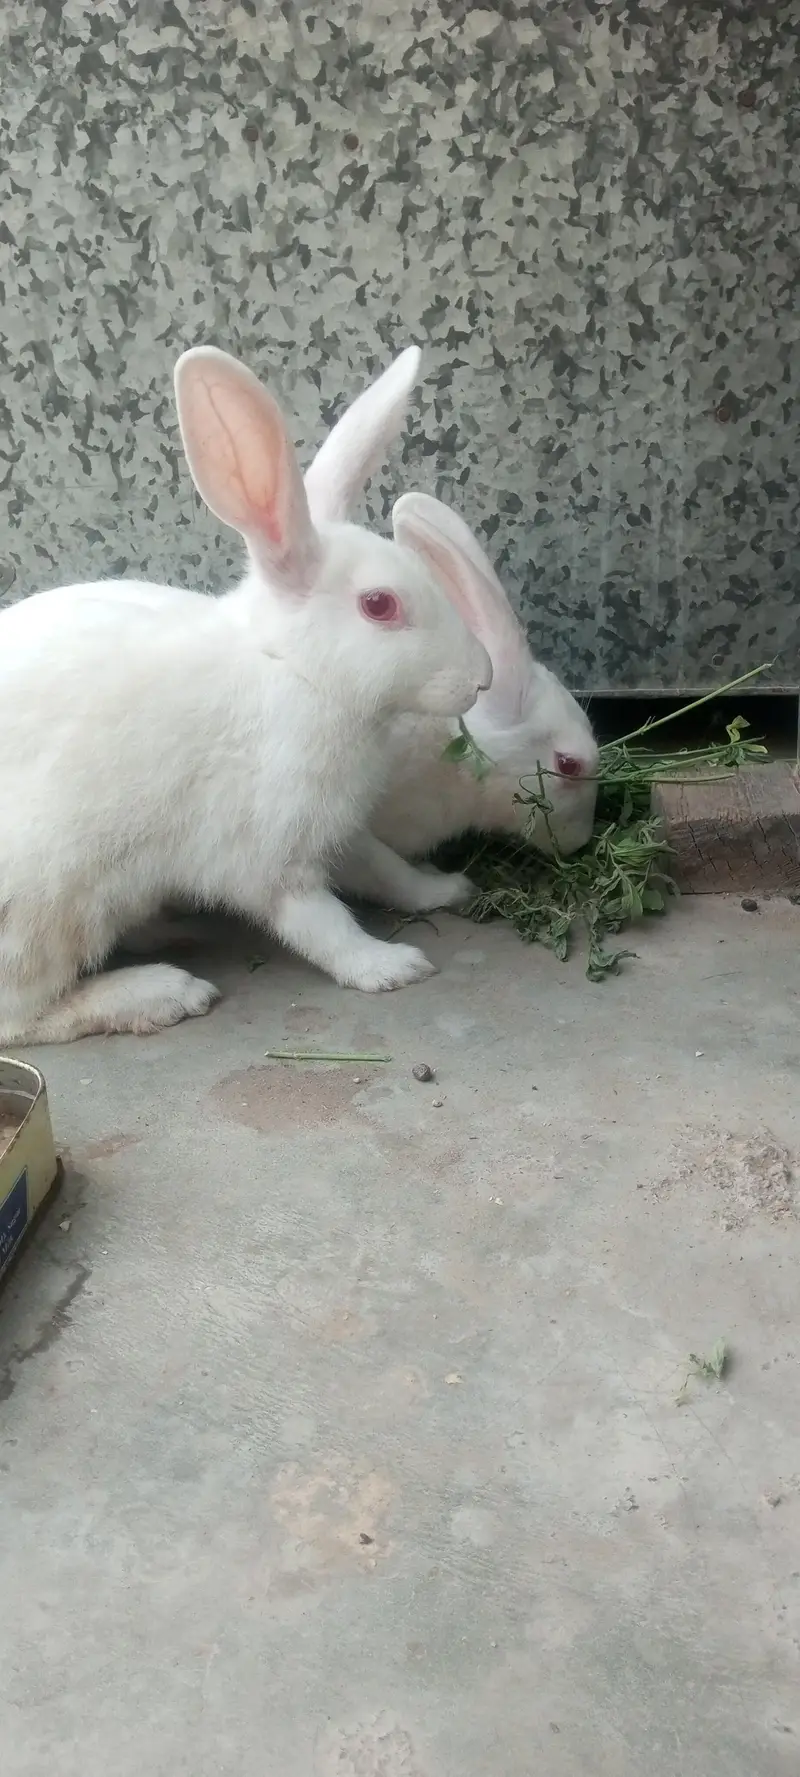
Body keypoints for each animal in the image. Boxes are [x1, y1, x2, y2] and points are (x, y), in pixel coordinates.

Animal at [0, 344, 493, 1045]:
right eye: (380, 605)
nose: (481, 677)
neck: (293, 672)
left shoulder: (340, 831)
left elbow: (384, 868)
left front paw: (444, 890)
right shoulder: (270, 853)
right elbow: (319, 922)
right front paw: (390, 967)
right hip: (47, 906)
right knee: (20, 1016)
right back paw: (162, 992)